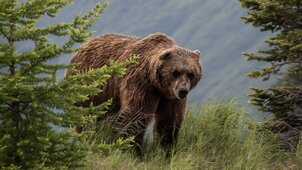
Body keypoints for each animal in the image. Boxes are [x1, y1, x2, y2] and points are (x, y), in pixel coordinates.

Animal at [70, 32, 203, 153]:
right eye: (175, 72)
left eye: (191, 73)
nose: (183, 90)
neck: (157, 84)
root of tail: (84, 45)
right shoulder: (140, 84)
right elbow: (135, 115)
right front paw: (132, 149)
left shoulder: (170, 97)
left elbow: (169, 120)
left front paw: (165, 148)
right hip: (92, 90)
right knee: (89, 119)